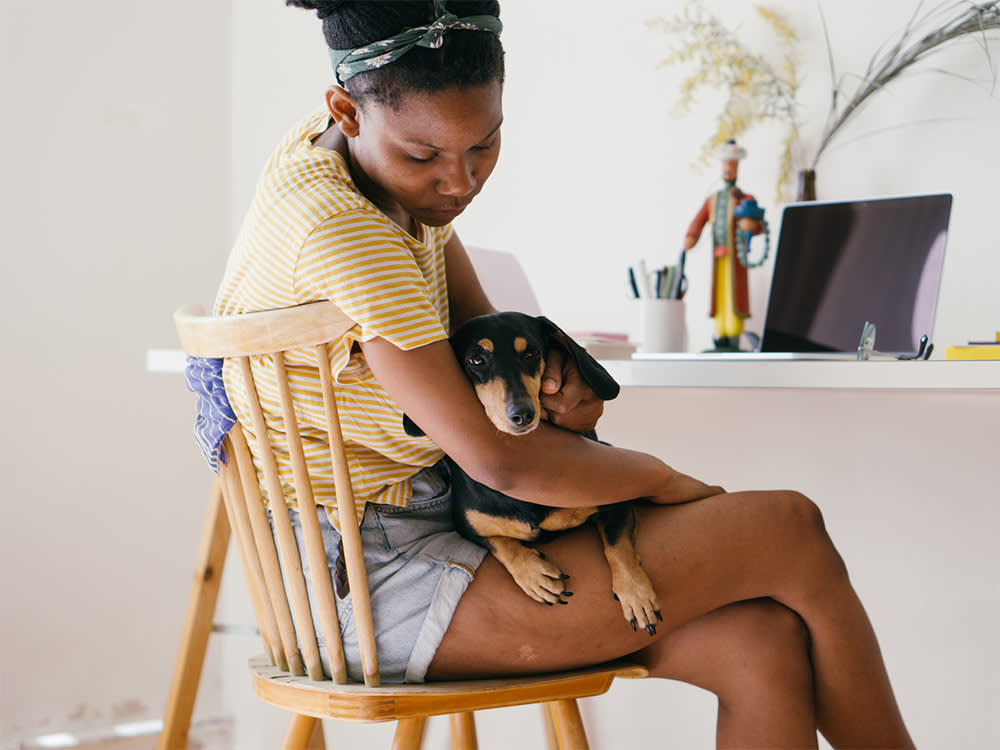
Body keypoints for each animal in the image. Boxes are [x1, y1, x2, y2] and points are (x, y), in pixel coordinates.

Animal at [402, 312, 660, 636]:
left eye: (531, 354)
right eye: (476, 359)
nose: (522, 414)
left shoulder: (617, 501)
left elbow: (618, 548)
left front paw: (636, 594)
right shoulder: (468, 526)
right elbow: (501, 543)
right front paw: (535, 576)